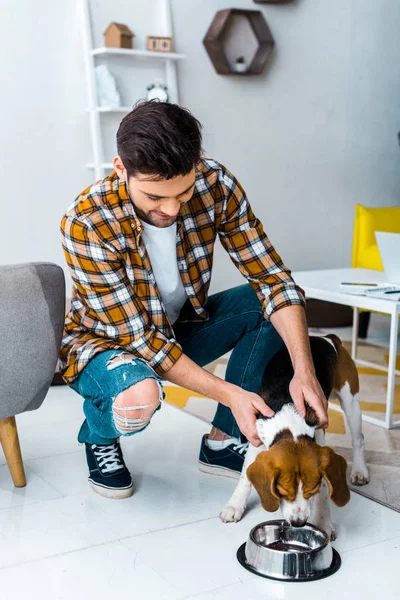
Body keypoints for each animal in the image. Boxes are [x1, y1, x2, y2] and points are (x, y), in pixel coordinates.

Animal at [219, 332, 368, 540]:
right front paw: (235, 505)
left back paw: (360, 471)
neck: (289, 426)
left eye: (312, 489)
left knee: (358, 439)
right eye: (281, 490)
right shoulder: (257, 435)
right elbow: (245, 476)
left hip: (351, 399)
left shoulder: (318, 433)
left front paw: (323, 522)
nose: (299, 523)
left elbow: (323, 492)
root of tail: (327, 337)